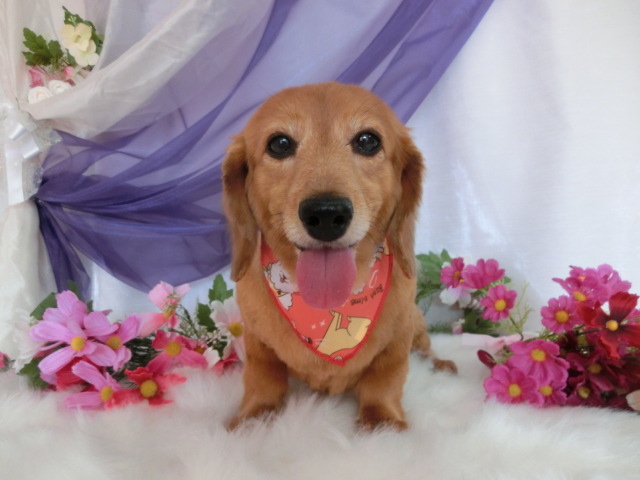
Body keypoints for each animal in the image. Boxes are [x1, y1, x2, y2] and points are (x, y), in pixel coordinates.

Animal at [222, 82, 455, 431]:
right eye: (279, 144)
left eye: (367, 140)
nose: (326, 214)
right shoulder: (257, 342)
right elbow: (263, 379)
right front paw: (252, 419)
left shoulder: (397, 341)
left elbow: (384, 380)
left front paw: (382, 423)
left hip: (415, 320)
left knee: (425, 349)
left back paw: (440, 365)